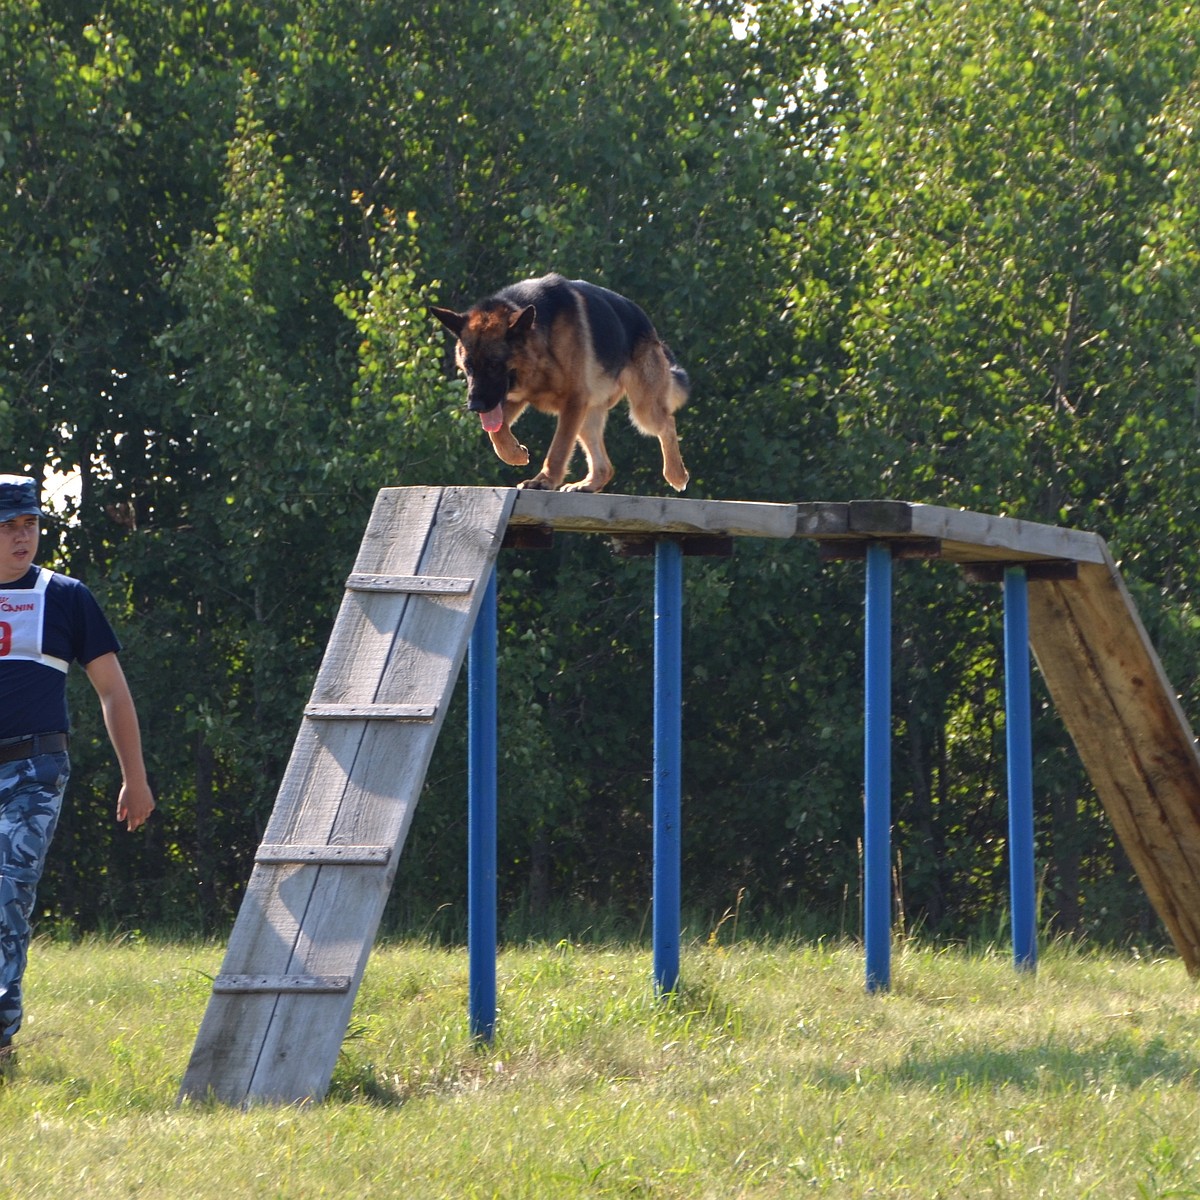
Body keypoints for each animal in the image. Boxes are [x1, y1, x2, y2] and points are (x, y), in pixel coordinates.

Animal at [434, 273, 696, 492]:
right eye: (468, 367)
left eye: (493, 365)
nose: (474, 406)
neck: (541, 340)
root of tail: (647, 324)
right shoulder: (515, 398)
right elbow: (497, 433)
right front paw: (515, 454)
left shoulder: (572, 401)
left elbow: (558, 448)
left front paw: (544, 480)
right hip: (587, 417)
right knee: (605, 466)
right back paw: (588, 484)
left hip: (641, 409)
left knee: (667, 423)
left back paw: (676, 474)